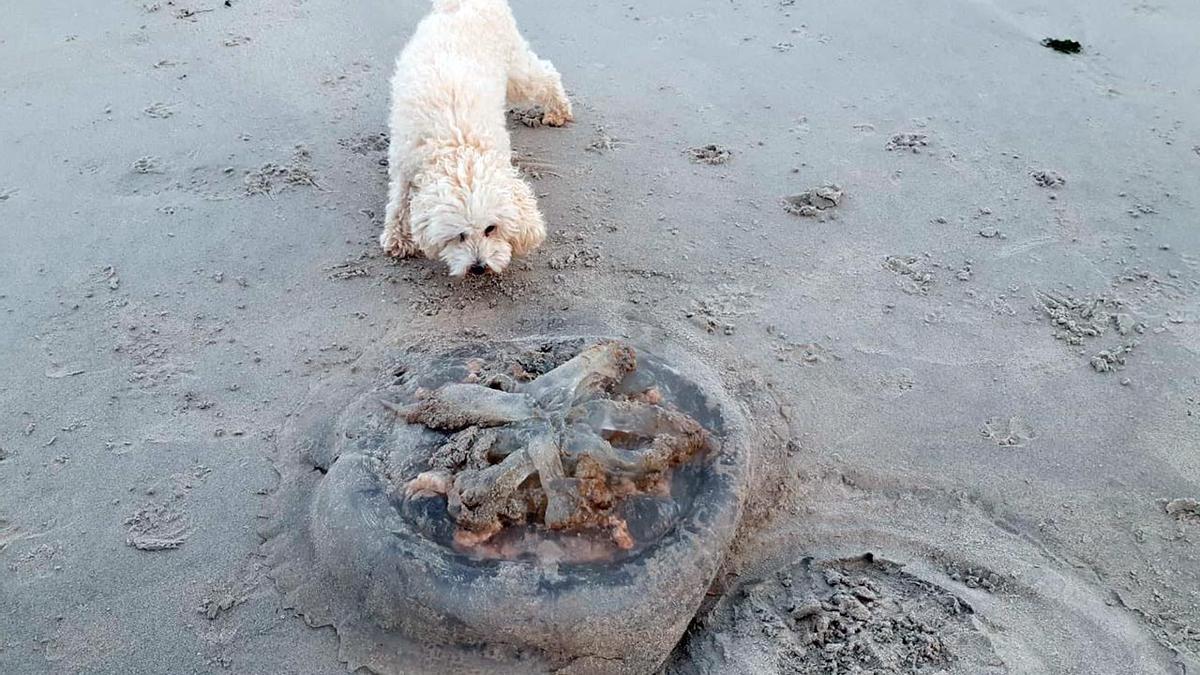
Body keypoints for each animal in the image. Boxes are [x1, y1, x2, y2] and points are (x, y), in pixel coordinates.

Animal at [381, 0, 573, 276]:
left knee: (545, 74)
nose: (479, 267)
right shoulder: (405, 164)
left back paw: (558, 111)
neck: (459, 146)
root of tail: (463, 3)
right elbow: (398, 203)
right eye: (460, 235)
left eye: (490, 229)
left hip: (515, 67)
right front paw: (398, 238)